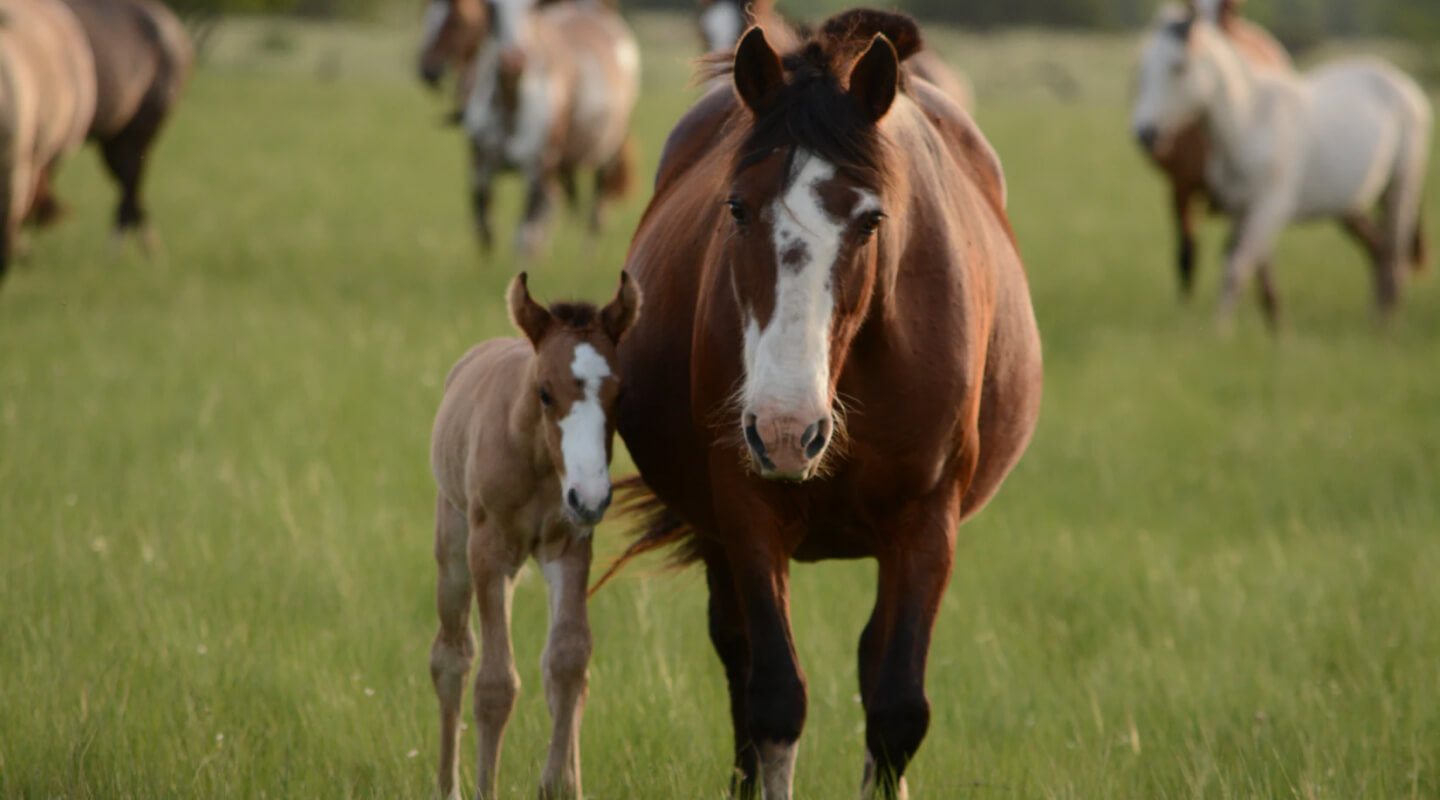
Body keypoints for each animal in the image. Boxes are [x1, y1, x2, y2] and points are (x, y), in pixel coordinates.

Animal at [420, 271, 636, 800]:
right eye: (544, 392)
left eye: (619, 395)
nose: (590, 496)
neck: (538, 462)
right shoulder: (489, 553)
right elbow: (495, 683)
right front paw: (485, 789)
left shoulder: (571, 547)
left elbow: (567, 659)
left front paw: (558, 784)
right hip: (454, 548)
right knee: (451, 655)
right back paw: (448, 787)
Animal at [601, 7, 1042, 800]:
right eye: (736, 207)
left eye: (870, 221)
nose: (785, 431)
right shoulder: (746, 511)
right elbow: (775, 697)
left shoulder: (928, 522)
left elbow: (897, 708)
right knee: (739, 656)